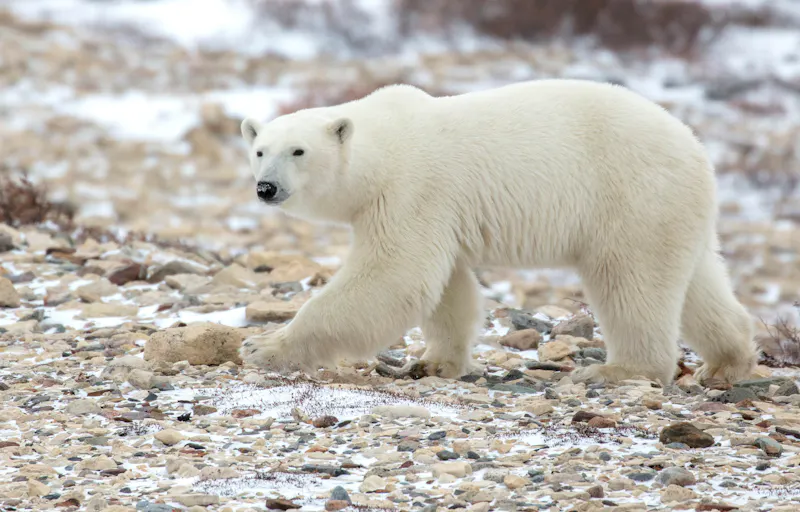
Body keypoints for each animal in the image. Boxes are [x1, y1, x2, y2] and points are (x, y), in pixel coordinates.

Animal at [237, 78, 758, 386]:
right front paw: (434, 363)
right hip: (673, 208)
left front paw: (262, 345)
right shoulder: (437, 210)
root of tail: (694, 145)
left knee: (630, 281)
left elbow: (394, 276)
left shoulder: (411, 189)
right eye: (260, 150)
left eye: (299, 151)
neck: (384, 148)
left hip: (631, 194)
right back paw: (727, 362)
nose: (266, 187)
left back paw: (618, 370)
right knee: (697, 282)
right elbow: (447, 289)